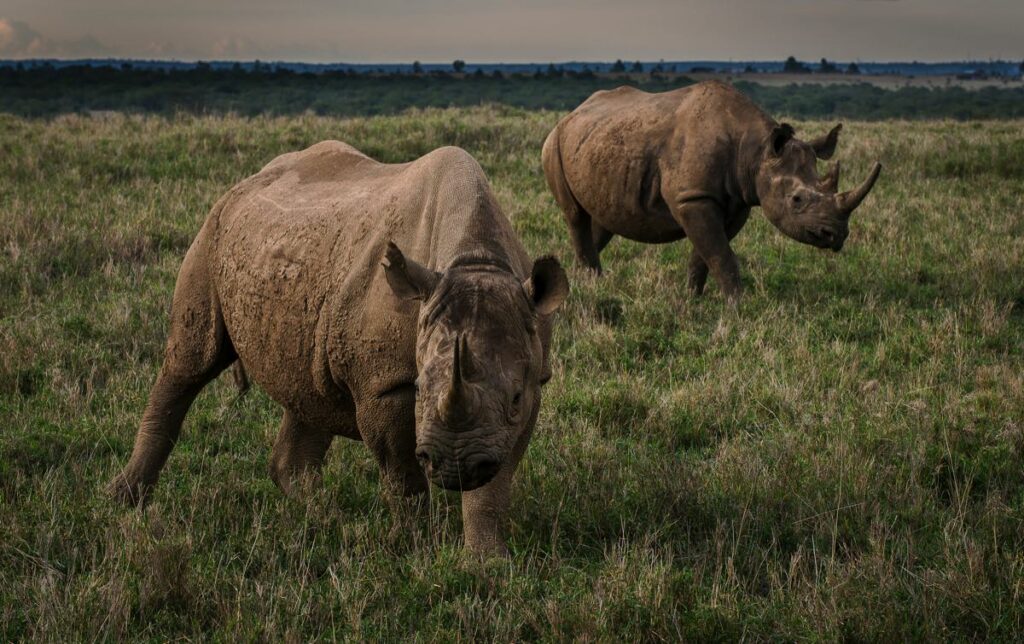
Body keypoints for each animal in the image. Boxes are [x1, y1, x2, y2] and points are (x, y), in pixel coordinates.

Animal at [109, 143, 573, 556]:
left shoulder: (530, 381)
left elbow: (495, 481)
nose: (454, 466)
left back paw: (324, 517)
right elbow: (402, 476)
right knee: (190, 365)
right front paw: (417, 546)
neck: (475, 259)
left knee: (306, 389)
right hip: (211, 232)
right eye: (419, 389)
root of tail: (247, 180)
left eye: (515, 397)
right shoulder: (383, 383)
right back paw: (123, 502)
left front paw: (486, 561)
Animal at [544, 80, 880, 301]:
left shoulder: (736, 202)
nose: (836, 235)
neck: (755, 151)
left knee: (603, 218)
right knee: (574, 215)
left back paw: (585, 282)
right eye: (797, 199)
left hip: (597, 143)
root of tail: (572, 113)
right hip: (555, 142)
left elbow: (706, 254)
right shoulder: (693, 197)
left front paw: (692, 300)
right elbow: (720, 254)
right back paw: (589, 284)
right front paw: (738, 308)